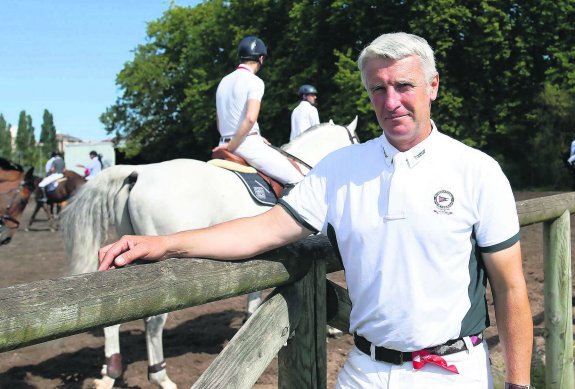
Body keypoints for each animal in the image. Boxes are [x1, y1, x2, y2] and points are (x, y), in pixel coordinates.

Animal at [60, 118, 358, 388]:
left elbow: (255, 291)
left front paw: (250, 319)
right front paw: (331, 325)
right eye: (356, 139)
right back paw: (160, 377)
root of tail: (138, 173)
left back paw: (110, 372)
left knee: (113, 312)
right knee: (153, 321)